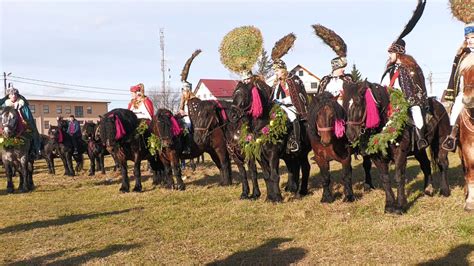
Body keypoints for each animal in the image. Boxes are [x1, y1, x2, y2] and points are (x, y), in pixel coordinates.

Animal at [342, 81, 450, 214]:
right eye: (344, 104)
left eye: (357, 103)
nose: (349, 135)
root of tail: (439, 104)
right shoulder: (377, 158)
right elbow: (385, 179)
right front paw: (389, 205)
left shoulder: (400, 155)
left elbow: (399, 177)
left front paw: (400, 206)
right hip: (419, 150)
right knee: (426, 165)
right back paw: (428, 189)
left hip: (441, 142)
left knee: (442, 163)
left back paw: (445, 190)